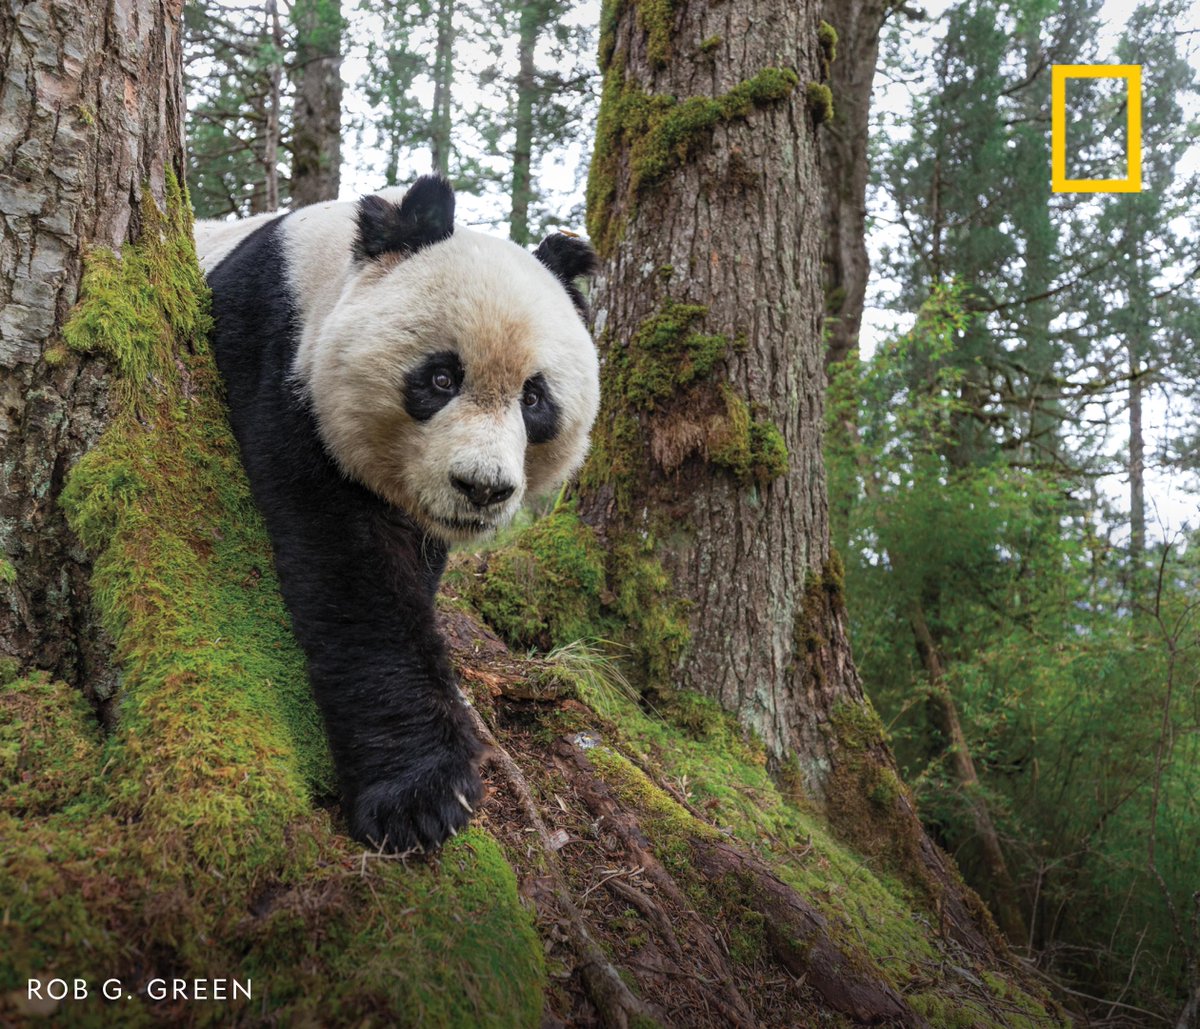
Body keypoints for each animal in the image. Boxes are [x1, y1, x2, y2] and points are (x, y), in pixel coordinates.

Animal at [195, 176, 600, 852]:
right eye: (440, 378)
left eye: (535, 398)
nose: (481, 489)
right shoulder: (276, 354)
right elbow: (354, 571)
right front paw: (422, 797)